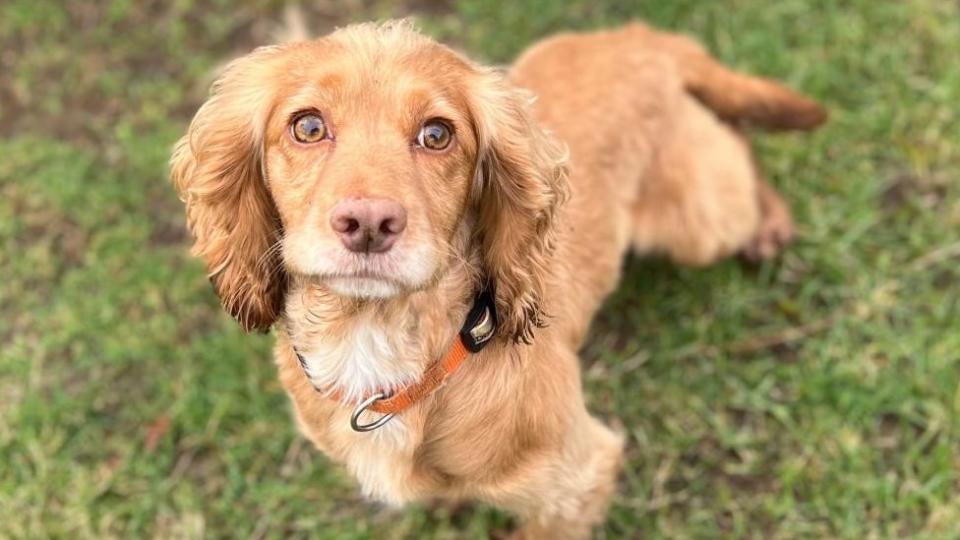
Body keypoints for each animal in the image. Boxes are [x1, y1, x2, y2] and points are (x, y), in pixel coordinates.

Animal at [171, 19, 824, 536]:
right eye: (307, 127)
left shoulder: (577, 479)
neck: (381, 347)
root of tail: (640, 36)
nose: (369, 223)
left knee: (737, 145)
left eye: (437, 134)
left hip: (701, 220)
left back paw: (770, 223)